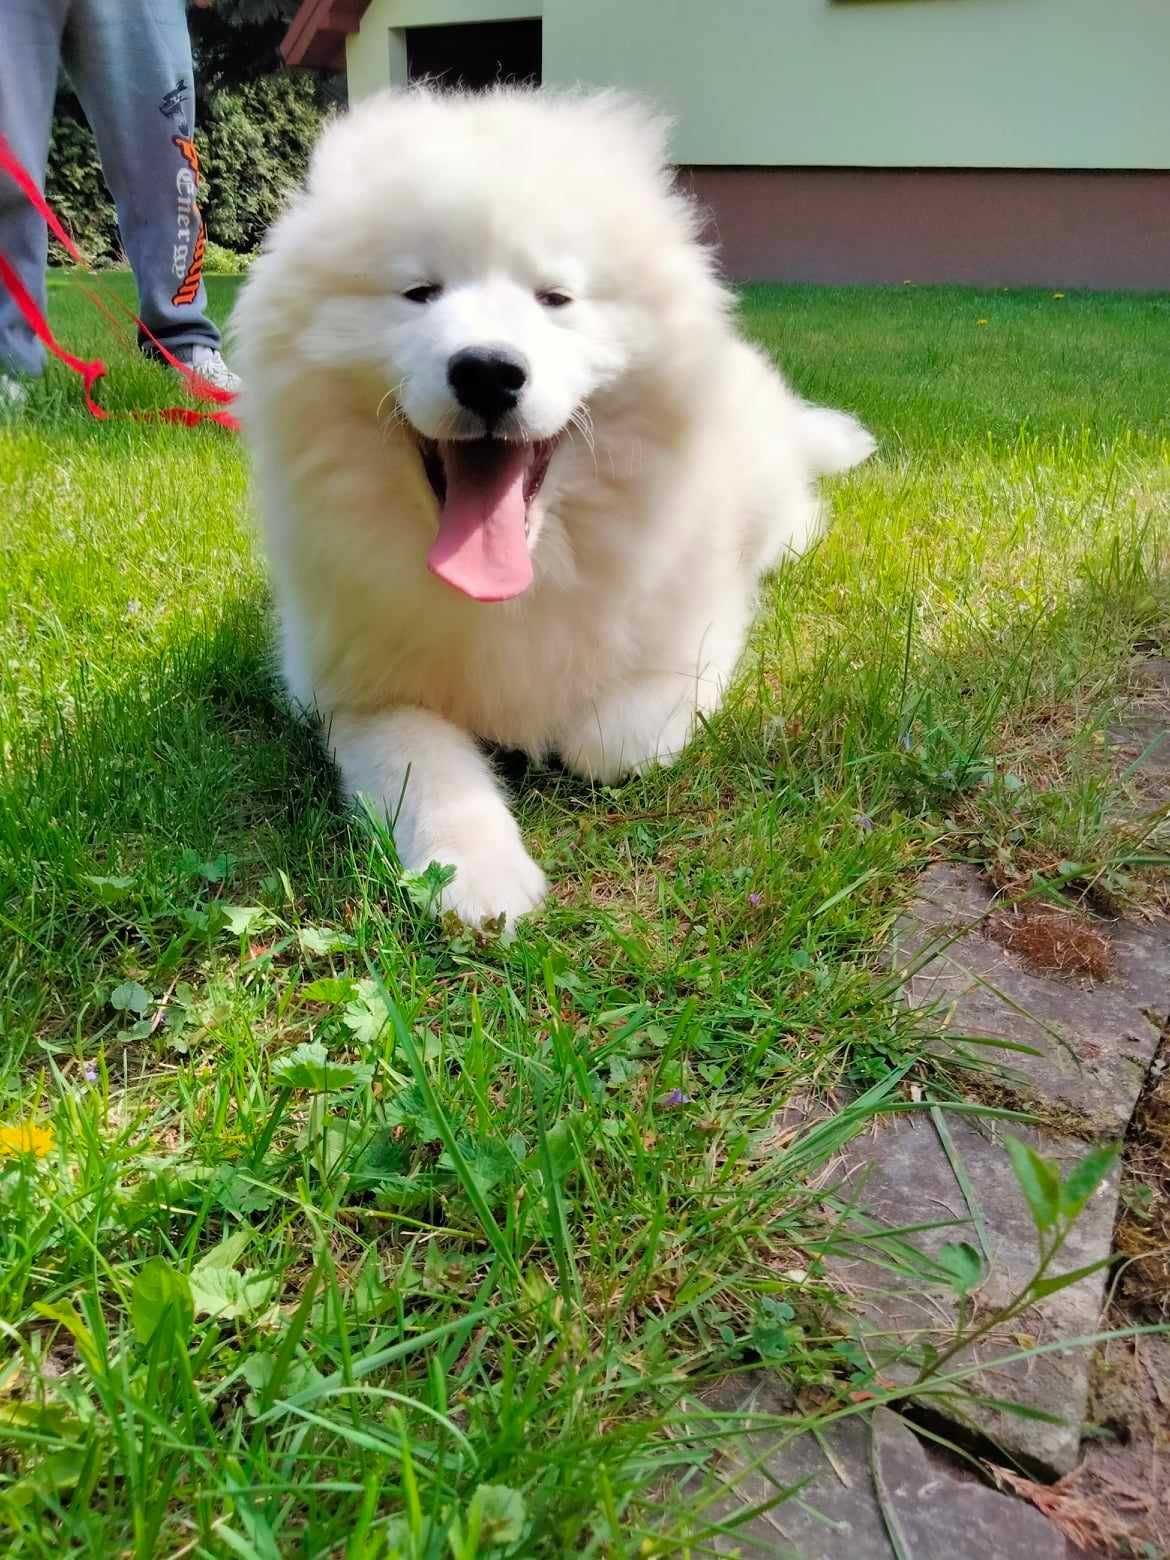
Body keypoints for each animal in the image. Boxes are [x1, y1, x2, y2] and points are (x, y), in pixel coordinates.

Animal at [233, 85, 873, 923]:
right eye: (419, 292)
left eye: (556, 299)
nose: (487, 370)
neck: (522, 581)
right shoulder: (352, 690)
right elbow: (424, 760)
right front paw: (476, 873)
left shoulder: (701, 622)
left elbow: (611, 740)